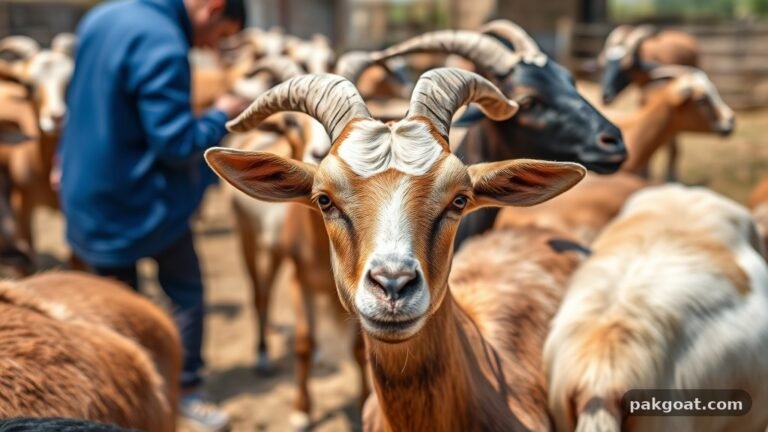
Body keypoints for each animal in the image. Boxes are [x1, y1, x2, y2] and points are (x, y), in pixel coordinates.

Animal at [600, 25, 699, 181]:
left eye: (626, 66)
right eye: (604, 65)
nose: (606, 96)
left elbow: (670, 143)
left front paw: (669, 177)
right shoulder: (645, 103)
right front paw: (644, 175)